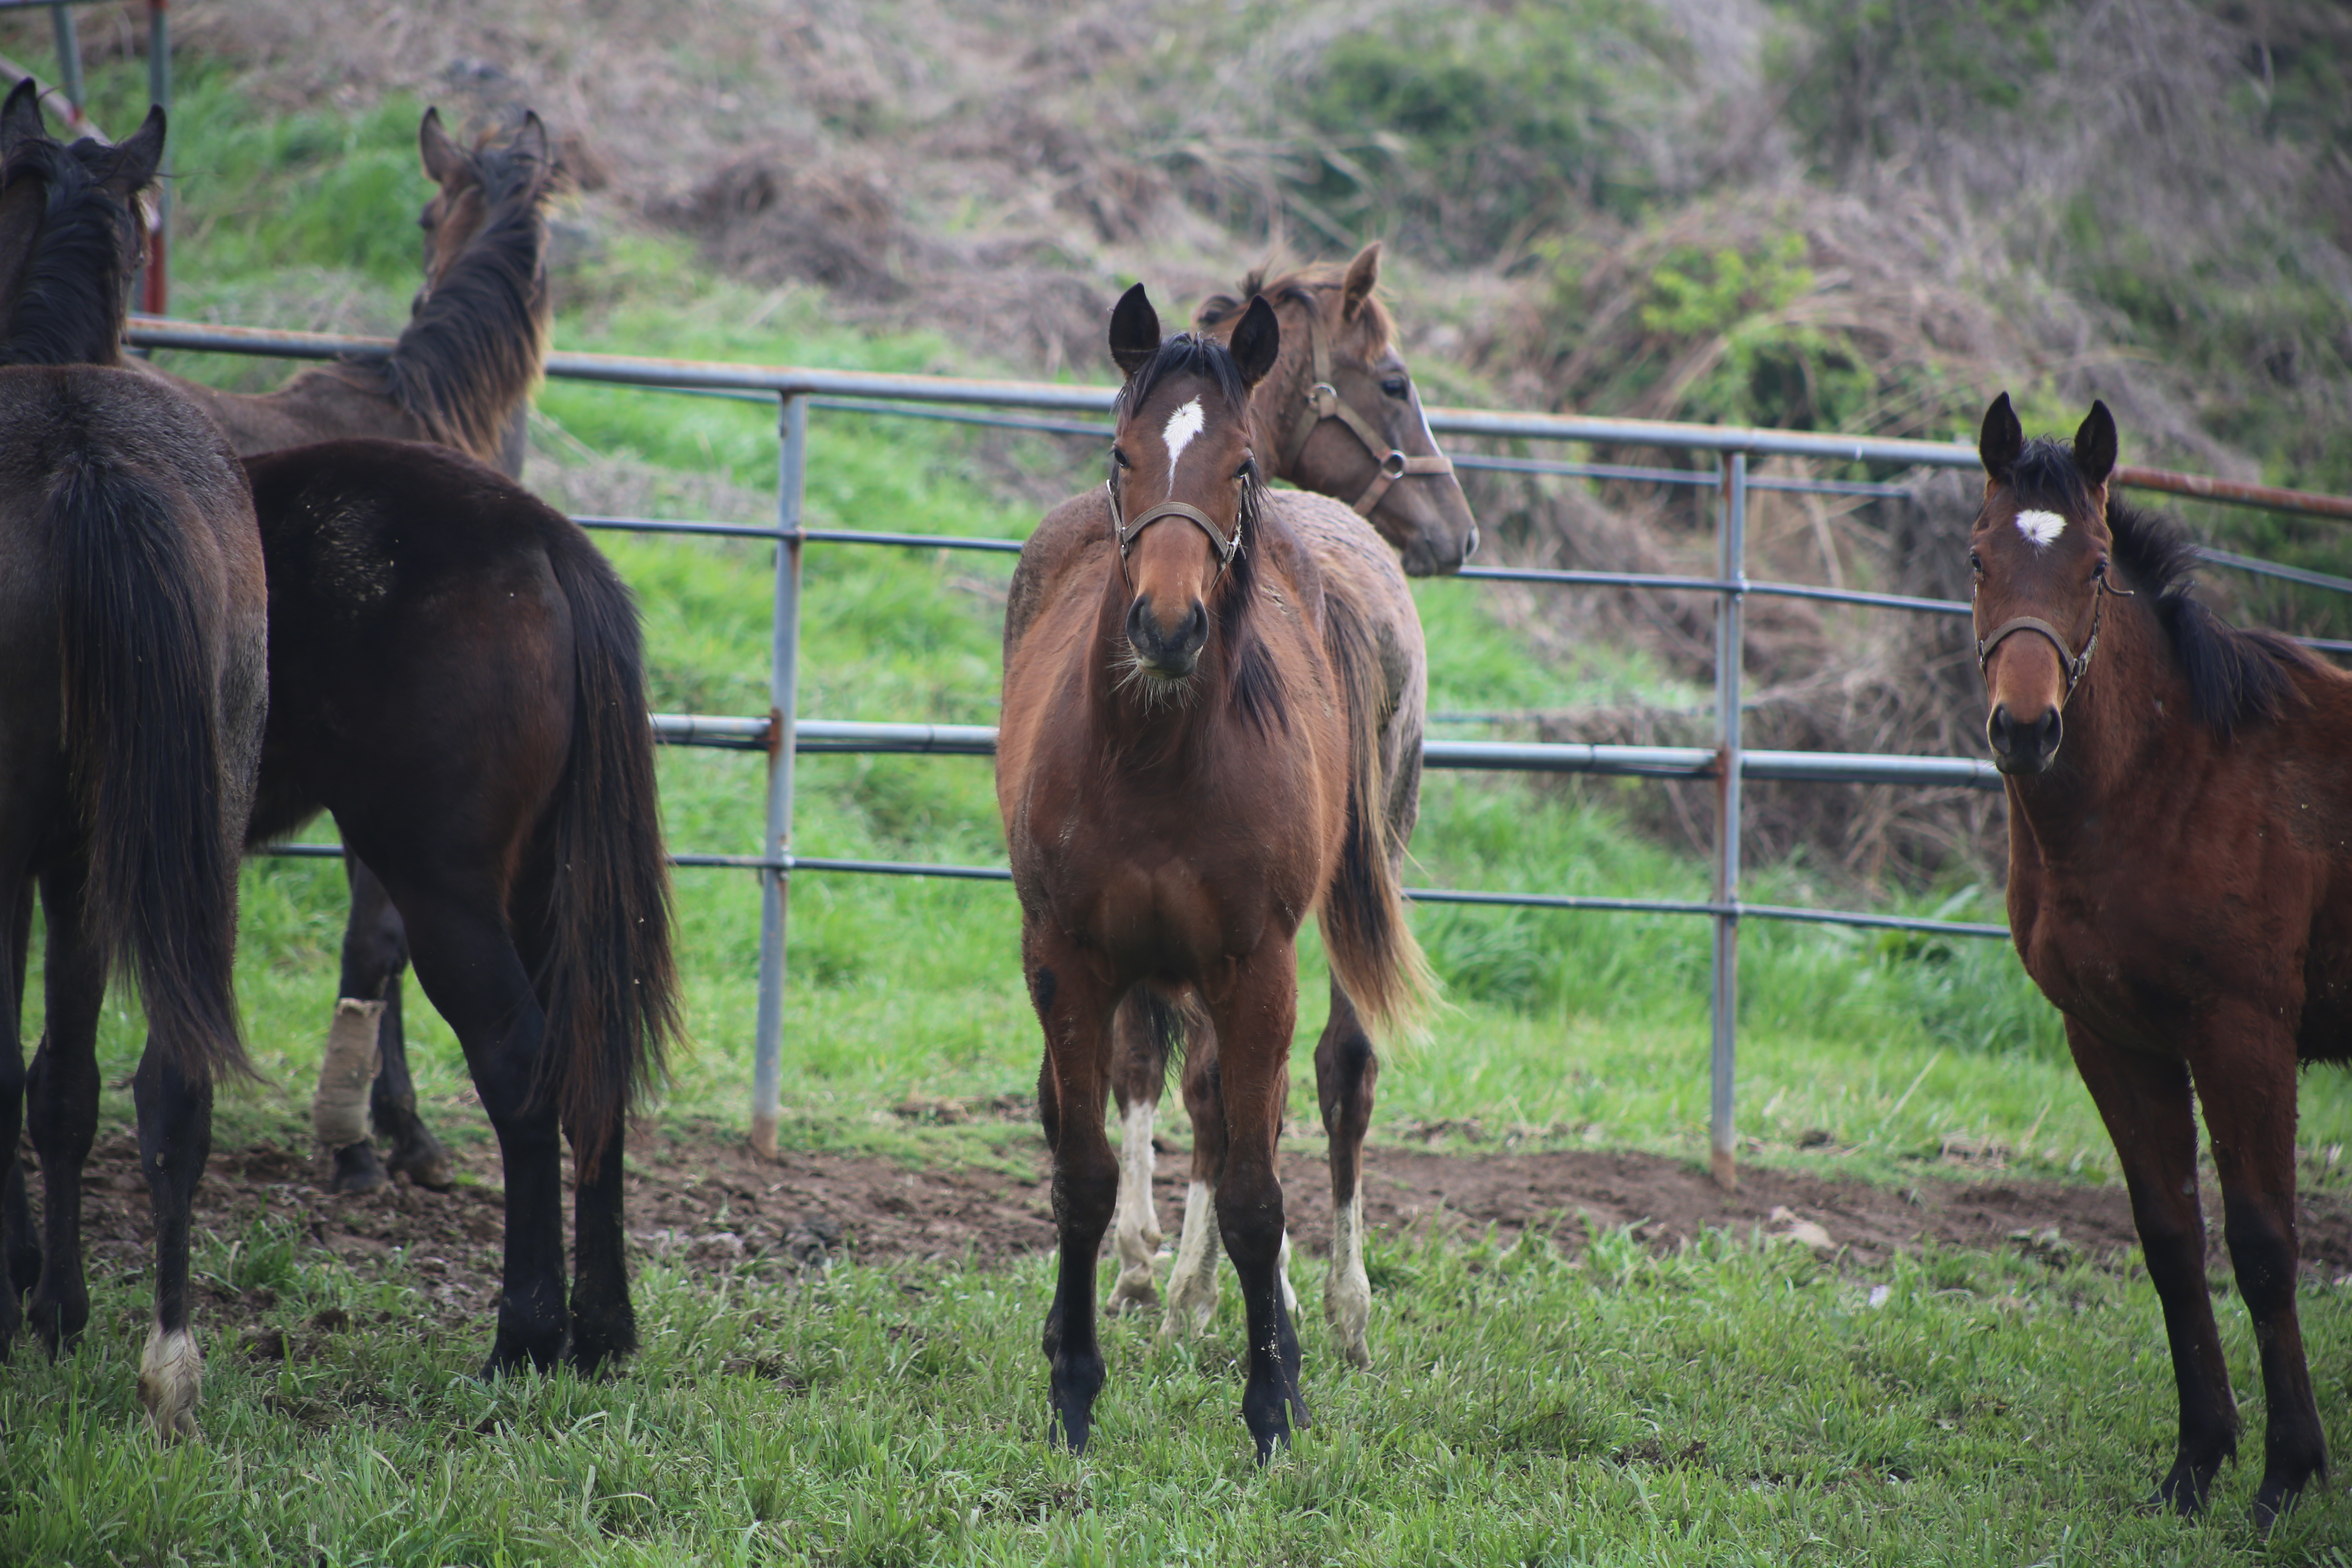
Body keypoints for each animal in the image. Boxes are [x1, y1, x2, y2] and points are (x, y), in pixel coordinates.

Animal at [997, 285, 1430, 1457]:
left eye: (1238, 466)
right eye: (1123, 453)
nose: (1167, 624)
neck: (1155, 756)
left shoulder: (1254, 966)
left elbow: (1253, 1188)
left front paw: (1271, 1400)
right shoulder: (1068, 959)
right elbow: (1086, 1171)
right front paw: (1074, 1389)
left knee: (1312, 1091)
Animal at [1087, 242, 1468, 1363]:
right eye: (1395, 383)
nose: (1459, 529)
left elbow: (1160, 1064)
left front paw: (1149, 1264)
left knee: (1243, 1077)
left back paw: (1215, 1291)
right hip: (1365, 862)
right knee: (1342, 1063)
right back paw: (1337, 1303)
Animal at [1976, 390, 2342, 1523]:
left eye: (2096, 567)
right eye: (1977, 557)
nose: (2024, 727)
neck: (2173, 775)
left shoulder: (2243, 1036)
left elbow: (2263, 1248)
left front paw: (2284, 1476)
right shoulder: (2111, 1038)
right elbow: (2172, 1243)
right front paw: (2195, 1464)